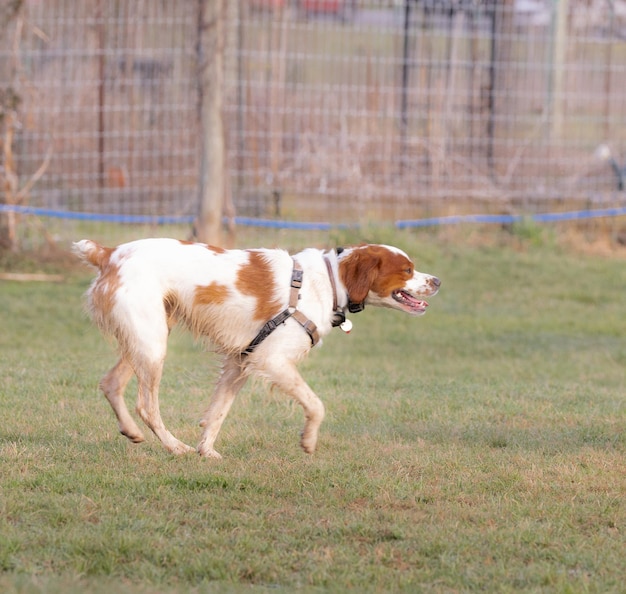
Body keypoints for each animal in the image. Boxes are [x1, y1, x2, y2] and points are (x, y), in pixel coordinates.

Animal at [72, 237, 438, 458]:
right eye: (407, 269)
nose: (437, 280)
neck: (329, 281)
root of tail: (110, 253)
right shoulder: (273, 360)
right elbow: (316, 405)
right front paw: (308, 441)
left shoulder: (241, 359)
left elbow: (217, 412)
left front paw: (207, 452)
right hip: (153, 343)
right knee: (146, 405)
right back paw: (175, 446)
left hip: (148, 336)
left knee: (111, 383)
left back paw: (132, 433)